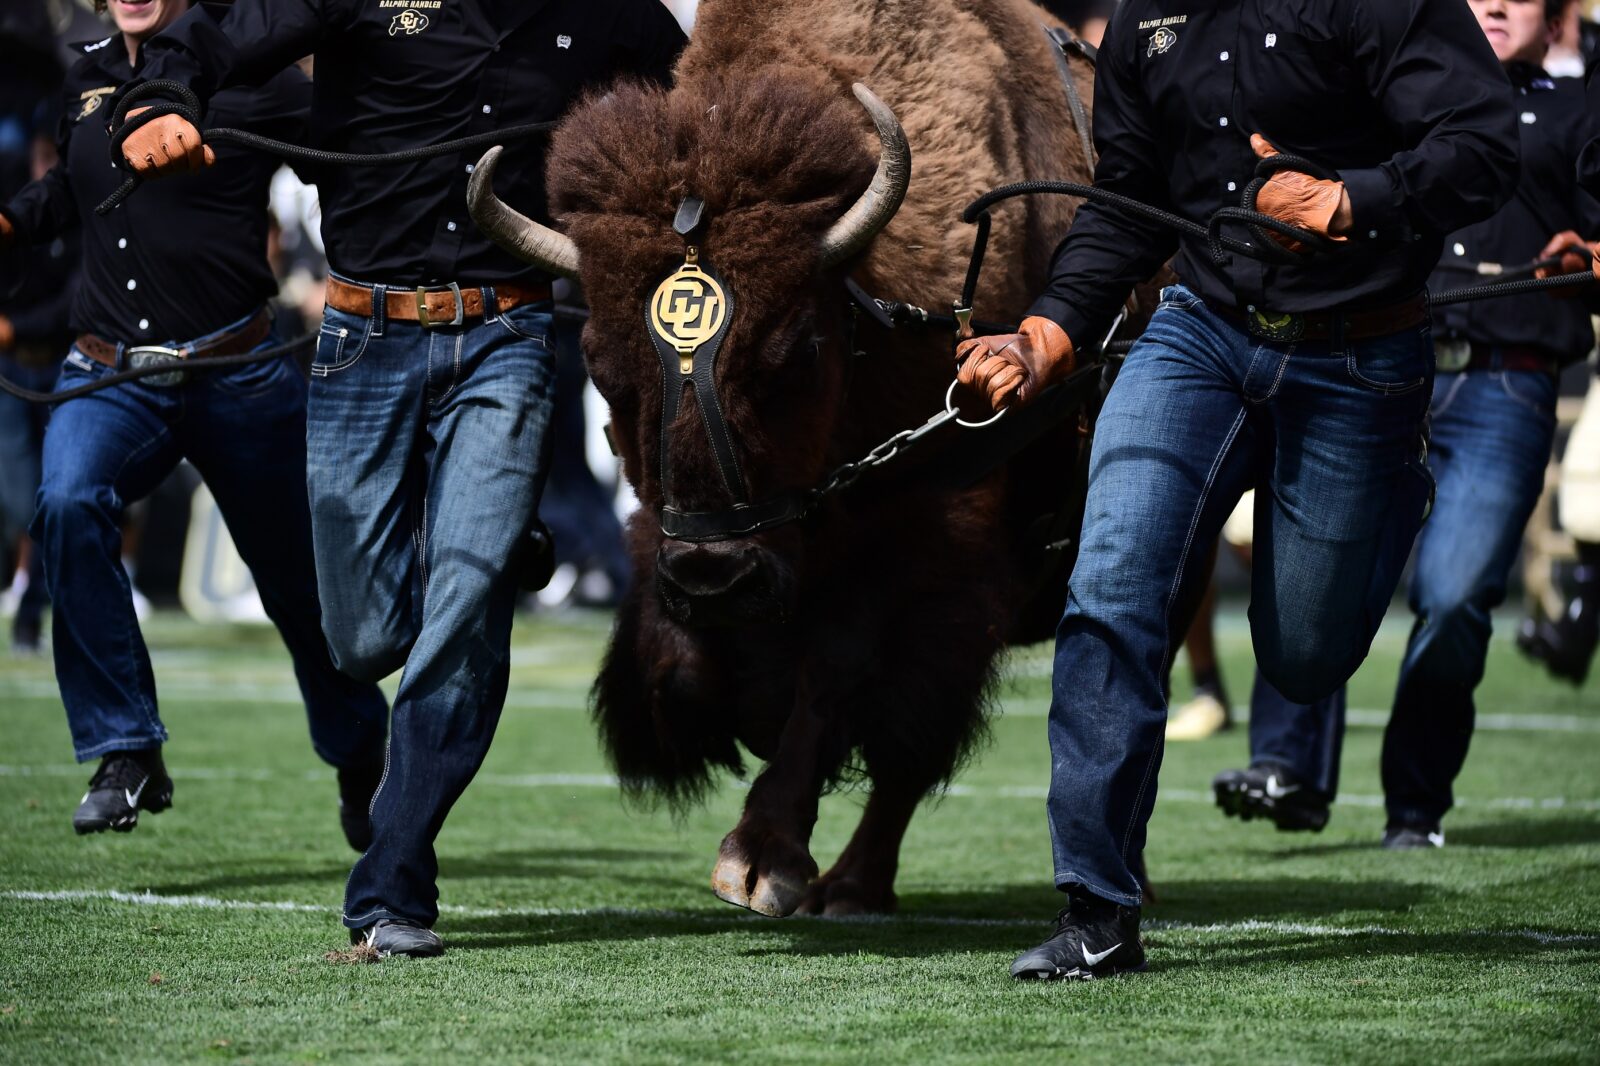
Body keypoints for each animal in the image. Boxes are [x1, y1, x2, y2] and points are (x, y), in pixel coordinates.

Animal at [467, 0, 1107, 915]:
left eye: (798, 350)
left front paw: (759, 861)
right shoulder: (669, 538)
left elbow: (847, 681)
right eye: (598, 364)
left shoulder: (931, 549)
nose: (717, 578)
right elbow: (683, 664)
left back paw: (851, 888)